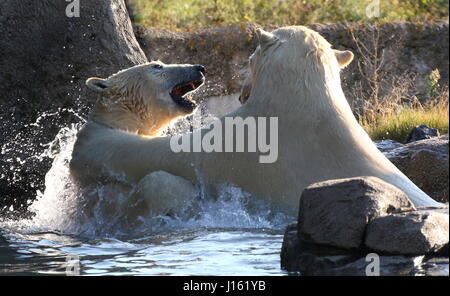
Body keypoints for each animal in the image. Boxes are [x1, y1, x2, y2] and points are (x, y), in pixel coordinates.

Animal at [71, 27, 442, 217]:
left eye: (249, 58)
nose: (201, 68)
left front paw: (92, 138)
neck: (301, 100)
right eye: (158, 65)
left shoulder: (245, 145)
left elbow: (175, 155)